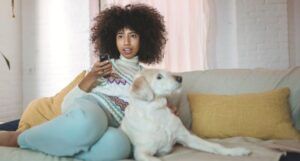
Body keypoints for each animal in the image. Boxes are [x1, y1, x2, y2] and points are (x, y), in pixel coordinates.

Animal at [120, 69, 251, 161]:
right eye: (159, 77)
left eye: (167, 72)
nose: (180, 77)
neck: (157, 112)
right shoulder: (141, 152)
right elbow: (157, 159)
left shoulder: (187, 138)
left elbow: (215, 146)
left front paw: (236, 151)